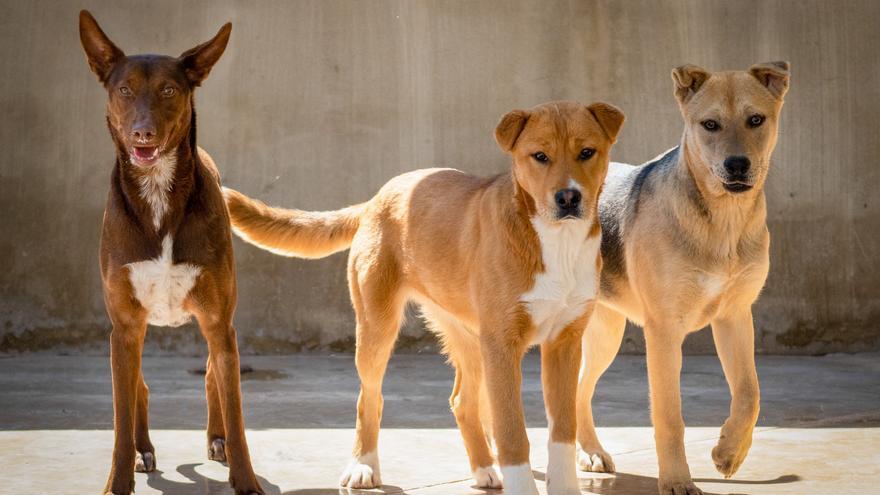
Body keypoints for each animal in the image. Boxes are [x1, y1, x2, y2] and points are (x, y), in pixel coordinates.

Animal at [78, 9, 262, 494]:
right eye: (124, 90)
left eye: (169, 90)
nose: (143, 133)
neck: (158, 191)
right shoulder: (123, 328)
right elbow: (121, 419)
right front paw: (118, 480)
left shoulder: (219, 322)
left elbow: (234, 408)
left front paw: (244, 479)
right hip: (132, 335)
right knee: (138, 390)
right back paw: (144, 448)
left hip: (216, 330)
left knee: (214, 377)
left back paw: (216, 439)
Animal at [225, 101, 624, 495]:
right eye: (539, 156)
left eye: (587, 152)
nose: (568, 198)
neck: (556, 241)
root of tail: (378, 196)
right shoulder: (503, 344)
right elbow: (512, 435)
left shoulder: (564, 343)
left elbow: (562, 433)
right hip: (379, 328)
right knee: (369, 398)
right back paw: (363, 466)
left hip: (470, 338)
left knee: (462, 402)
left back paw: (483, 469)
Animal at [576, 63, 792, 495]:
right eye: (709, 124)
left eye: (756, 120)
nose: (737, 165)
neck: (722, 223)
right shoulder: (663, 330)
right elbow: (669, 416)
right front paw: (676, 479)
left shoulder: (734, 317)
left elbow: (750, 393)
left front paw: (729, 452)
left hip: (604, 335)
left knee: (576, 392)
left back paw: (589, 452)